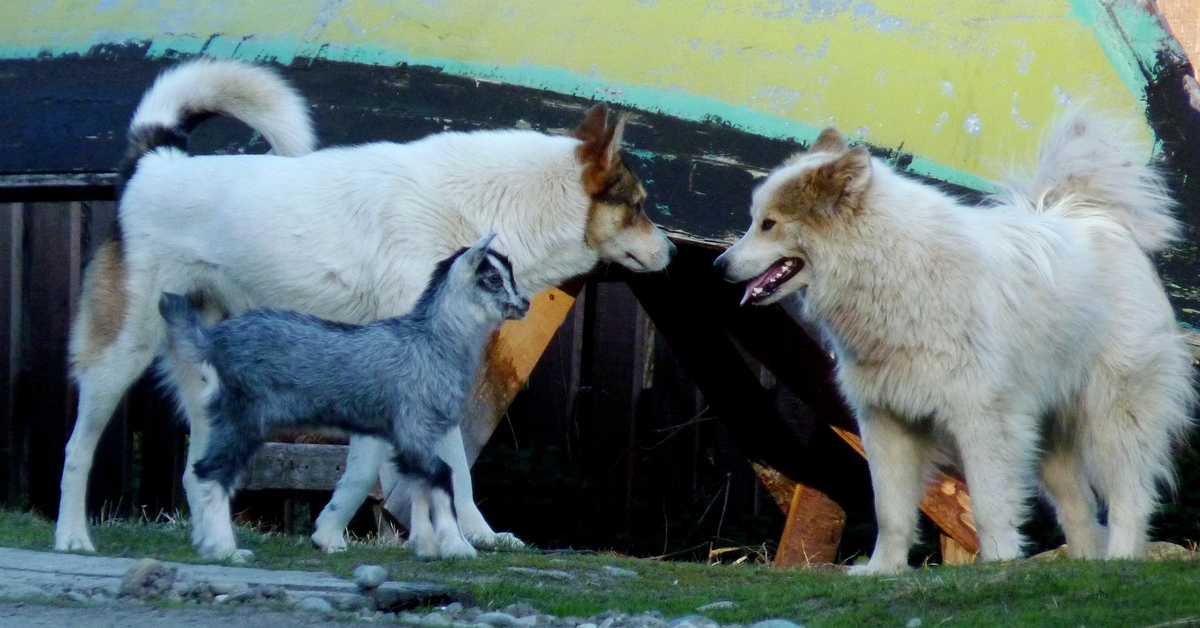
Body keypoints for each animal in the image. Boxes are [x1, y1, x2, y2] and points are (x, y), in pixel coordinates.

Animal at [160, 232, 530, 557]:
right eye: (493, 279)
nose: (525, 303)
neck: (432, 342)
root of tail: (213, 340)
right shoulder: (416, 426)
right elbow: (442, 477)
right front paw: (457, 547)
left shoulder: (409, 436)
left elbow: (420, 486)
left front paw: (426, 546)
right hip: (242, 415)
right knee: (212, 472)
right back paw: (225, 550)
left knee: (204, 471)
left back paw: (208, 543)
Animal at [715, 111, 1195, 573]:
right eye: (755, 222)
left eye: (769, 224)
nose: (720, 265)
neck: (889, 267)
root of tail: (1095, 216)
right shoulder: (886, 421)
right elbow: (890, 512)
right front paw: (883, 570)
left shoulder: (981, 419)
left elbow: (988, 505)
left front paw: (998, 563)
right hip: (1048, 440)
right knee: (1080, 510)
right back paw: (1083, 565)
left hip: (1115, 418)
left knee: (1129, 498)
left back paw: (1120, 559)